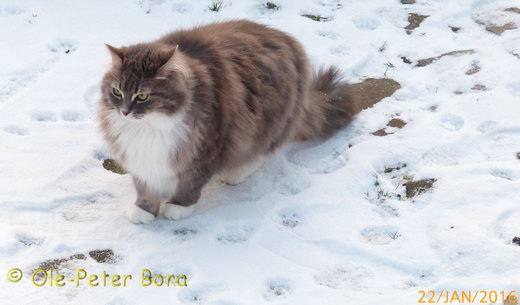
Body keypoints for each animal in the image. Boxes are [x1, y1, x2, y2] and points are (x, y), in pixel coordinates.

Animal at [97, 19, 358, 223]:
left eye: (142, 96)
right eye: (117, 92)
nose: (125, 111)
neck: (148, 127)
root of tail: (285, 37)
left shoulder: (205, 148)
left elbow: (190, 183)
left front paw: (177, 207)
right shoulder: (139, 156)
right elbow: (145, 187)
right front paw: (144, 210)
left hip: (269, 124)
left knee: (262, 151)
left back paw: (236, 173)